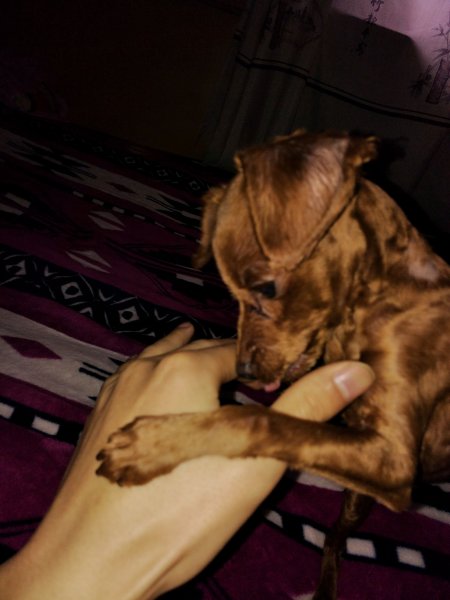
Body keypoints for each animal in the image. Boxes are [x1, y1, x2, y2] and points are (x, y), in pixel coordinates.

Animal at [97, 130, 450, 599]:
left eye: (267, 288)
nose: (246, 372)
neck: (377, 300)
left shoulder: (392, 462)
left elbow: (256, 418)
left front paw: (151, 444)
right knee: (334, 540)